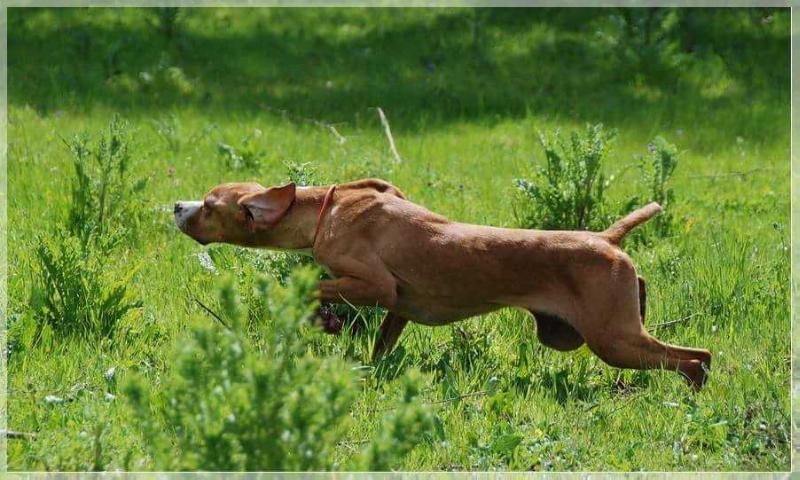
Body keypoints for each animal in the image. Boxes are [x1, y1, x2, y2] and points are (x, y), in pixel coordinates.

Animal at [177, 178, 712, 388]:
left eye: (209, 204)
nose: (176, 206)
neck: (325, 208)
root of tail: (606, 238)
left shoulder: (377, 286)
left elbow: (313, 290)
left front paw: (324, 319)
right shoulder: (399, 309)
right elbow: (378, 345)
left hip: (614, 340)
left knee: (695, 358)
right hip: (610, 333)